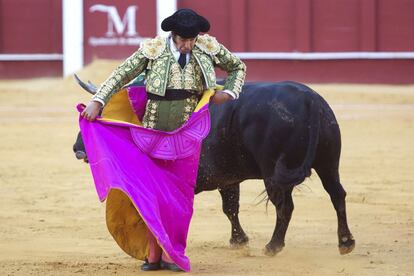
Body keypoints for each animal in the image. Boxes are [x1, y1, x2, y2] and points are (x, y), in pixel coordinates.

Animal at [73, 81, 354, 256]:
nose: (77, 148)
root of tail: (310, 100)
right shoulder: (228, 178)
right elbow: (230, 208)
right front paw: (239, 241)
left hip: (273, 172)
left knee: (285, 206)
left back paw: (273, 246)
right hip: (329, 163)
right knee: (337, 194)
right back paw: (345, 242)